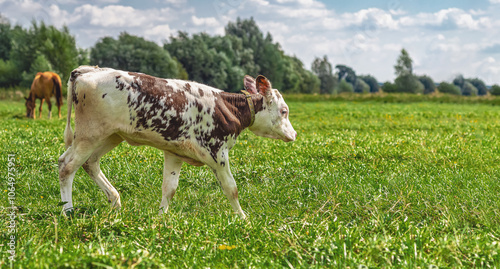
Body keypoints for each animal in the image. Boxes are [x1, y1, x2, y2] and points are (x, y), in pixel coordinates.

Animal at [58, 65, 296, 218]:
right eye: (284, 111)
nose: (293, 134)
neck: (225, 108)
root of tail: (87, 70)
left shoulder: (174, 152)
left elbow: (169, 188)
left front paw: (161, 218)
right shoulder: (217, 153)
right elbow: (231, 188)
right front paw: (243, 218)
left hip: (110, 135)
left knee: (89, 163)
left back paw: (115, 200)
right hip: (90, 134)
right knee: (67, 165)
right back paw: (68, 211)